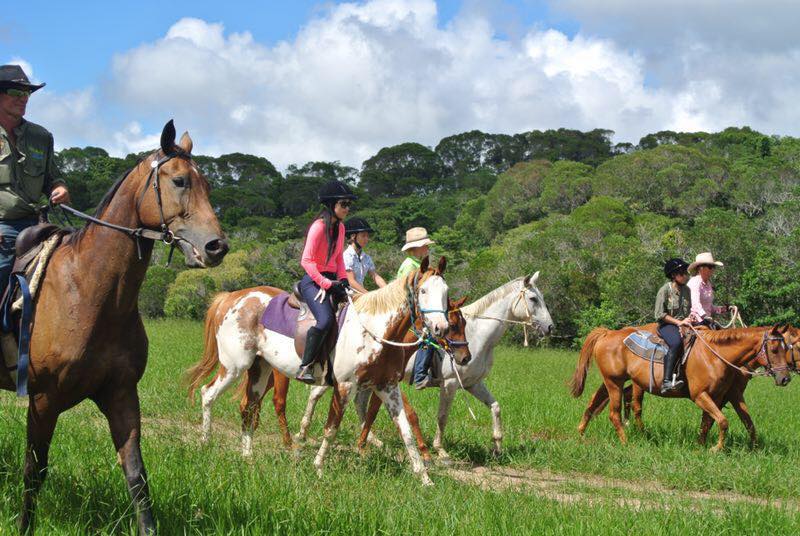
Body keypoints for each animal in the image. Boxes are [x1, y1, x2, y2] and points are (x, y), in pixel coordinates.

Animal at [3, 122, 228, 536]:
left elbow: (137, 477)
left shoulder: (121, 394)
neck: (90, 291)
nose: (217, 246)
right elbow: (33, 471)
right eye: (179, 180)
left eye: (207, 184)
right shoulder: (43, 400)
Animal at [572, 324, 792, 450]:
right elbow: (722, 422)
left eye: (788, 347)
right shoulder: (701, 395)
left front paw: (701, 446)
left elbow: (718, 423)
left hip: (612, 382)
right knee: (615, 413)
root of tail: (607, 333)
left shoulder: (722, 396)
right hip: (615, 383)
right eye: (774, 349)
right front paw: (715, 449)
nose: (785, 378)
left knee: (593, 402)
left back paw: (580, 434)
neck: (716, 356)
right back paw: (626, 443)